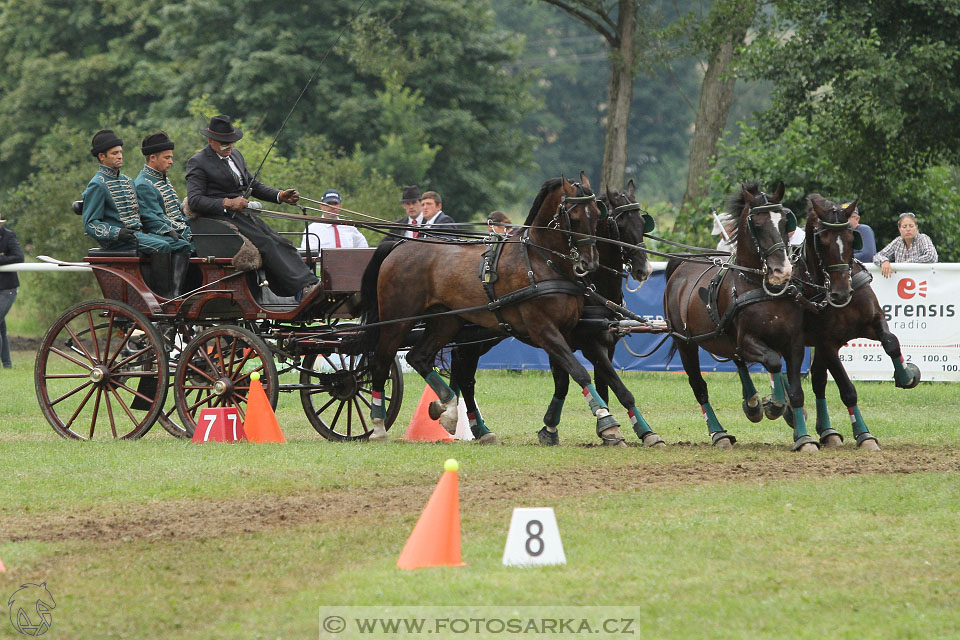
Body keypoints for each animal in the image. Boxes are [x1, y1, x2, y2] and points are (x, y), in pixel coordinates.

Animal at [360, 178, 608, 442]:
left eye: (596, 215)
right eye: (575, 218)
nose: (590, 262)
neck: (541, 261)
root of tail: (399, 245)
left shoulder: (566, 331)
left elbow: (567, 377)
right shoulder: (543, 329)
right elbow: (579, 371)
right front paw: (607, 420)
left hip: (445, 321)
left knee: (418, 356)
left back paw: (448, 409)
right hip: (397, 320)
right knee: (381, 363)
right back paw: (378, 426)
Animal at [668, 182, 816, 448]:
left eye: (783, 222)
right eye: (756, 224)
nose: (782, 271)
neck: (758, 285)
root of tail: (682, 266)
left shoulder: (793, 343)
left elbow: (796, 390)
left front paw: (802, 434)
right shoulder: (747, 341)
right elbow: (773, 362)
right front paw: (774, 405)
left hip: (726, 339)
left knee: (739, 364)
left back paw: (754, 403)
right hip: (685, 343)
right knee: (699, 386)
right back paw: (719, 432)